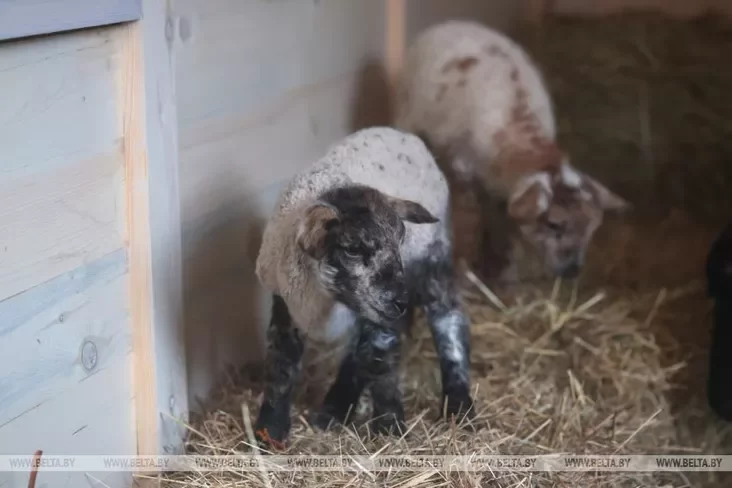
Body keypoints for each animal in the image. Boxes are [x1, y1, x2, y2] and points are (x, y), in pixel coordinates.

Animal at [253, 127, 475, 447]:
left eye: (400, 239)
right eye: (353, 249)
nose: (402, 301)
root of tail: (405, 134)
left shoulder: (382, 314)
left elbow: (380, 360)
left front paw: (390, 427)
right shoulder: (286, 305)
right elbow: (281, 365)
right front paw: (269, 430)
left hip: (434, 255)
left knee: (449, 319)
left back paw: (459, 404)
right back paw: (335, 408)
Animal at [395, 20, 630, 280]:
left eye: (593, 228)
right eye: (553, 224)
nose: (572, 272)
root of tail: (454, 22)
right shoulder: (462, 169)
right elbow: (470, 218)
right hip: (407, 110)